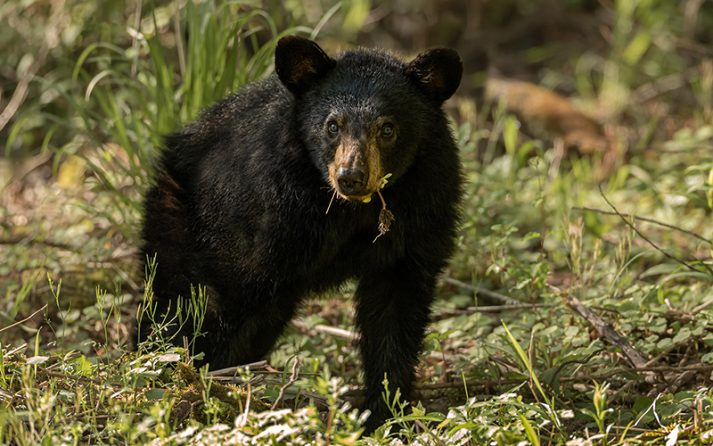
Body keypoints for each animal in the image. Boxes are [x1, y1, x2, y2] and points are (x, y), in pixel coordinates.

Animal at [138, 36, 462, 434]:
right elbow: (221, 301)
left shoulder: (423, 211)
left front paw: (386, 414)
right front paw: (200, 391)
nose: (351, 176)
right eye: (332, 125)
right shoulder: (264, 208)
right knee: (178, 301)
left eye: (387, 128)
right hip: (180, 223)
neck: (352, 210)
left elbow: (396, 315)